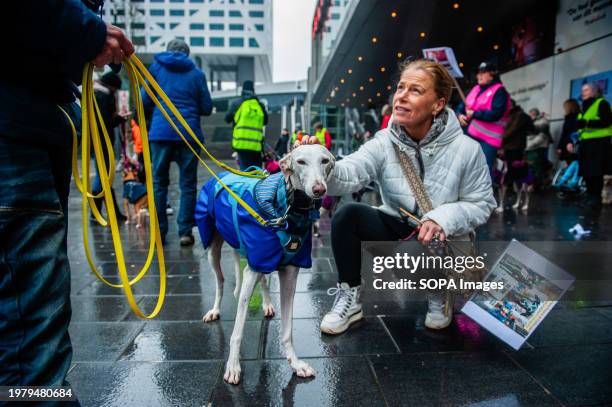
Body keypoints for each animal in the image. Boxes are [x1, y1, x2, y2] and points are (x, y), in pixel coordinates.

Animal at [195, 144, 334, 386]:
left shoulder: (288, 274)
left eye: (325, 160)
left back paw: (268, 304)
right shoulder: (253, 267)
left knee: (263, 281)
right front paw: (233, 366)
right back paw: (214, 310)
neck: (287, 207)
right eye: (300, 161)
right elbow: (237, 331)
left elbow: (287, 330)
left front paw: (295, 364)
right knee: (220, 282)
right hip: (213, 250)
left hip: (258, 259)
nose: (319, 189)